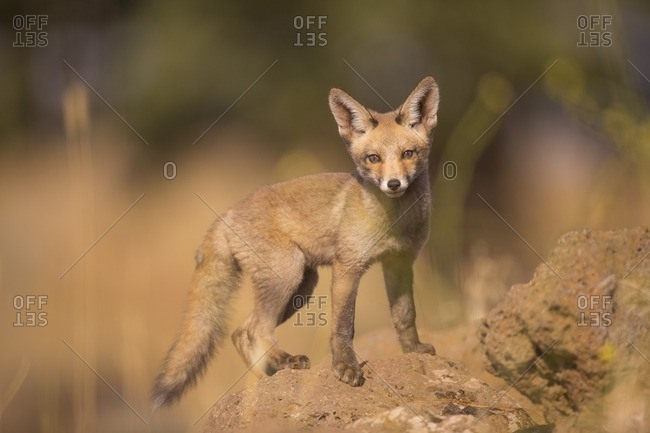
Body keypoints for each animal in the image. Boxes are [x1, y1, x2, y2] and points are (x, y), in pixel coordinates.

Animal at [152, 76, 440, 409]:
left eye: (408, 154)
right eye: (373, 158)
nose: (394, 184)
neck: (393, 222)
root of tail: (227, 213)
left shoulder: (400, 263)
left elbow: (405, 315)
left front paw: (414, 351)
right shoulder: (348, 266)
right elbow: (344, 326)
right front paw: (346, 367)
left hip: (302, 286)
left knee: (241, 332)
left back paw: (268, 376)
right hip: (288, 275)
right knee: (257, 329)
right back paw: (284, 361)